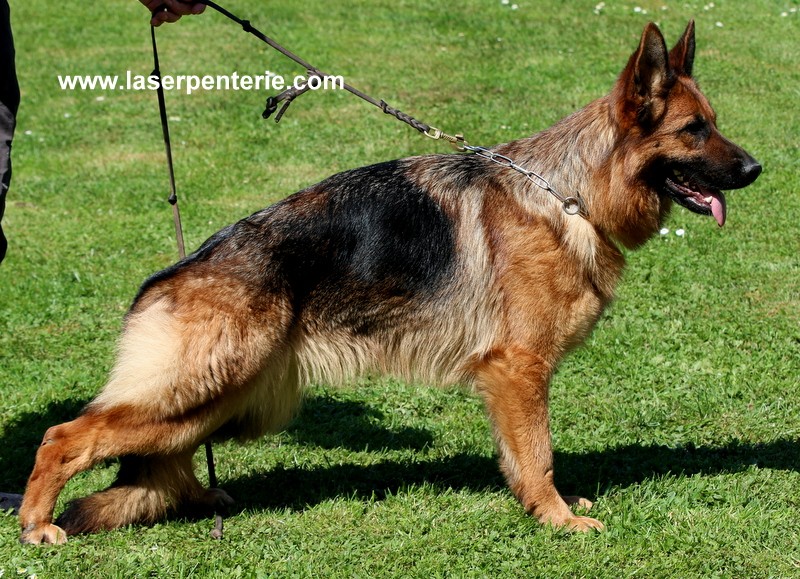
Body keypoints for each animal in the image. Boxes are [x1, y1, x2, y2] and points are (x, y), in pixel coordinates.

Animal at [15, 19, 760, 544]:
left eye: (714, 124)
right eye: (695, 130)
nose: (757, 169)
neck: (571, 193)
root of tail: (176, 271)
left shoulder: (512, 380)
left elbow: (523, 456)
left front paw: (541, 508)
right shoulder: (518, 370)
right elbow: (539, 454)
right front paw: (555, 518)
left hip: (224, 398)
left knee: (161, 458)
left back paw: (197, 498)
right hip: (201, 383)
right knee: (63, 435)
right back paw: (36, 522)